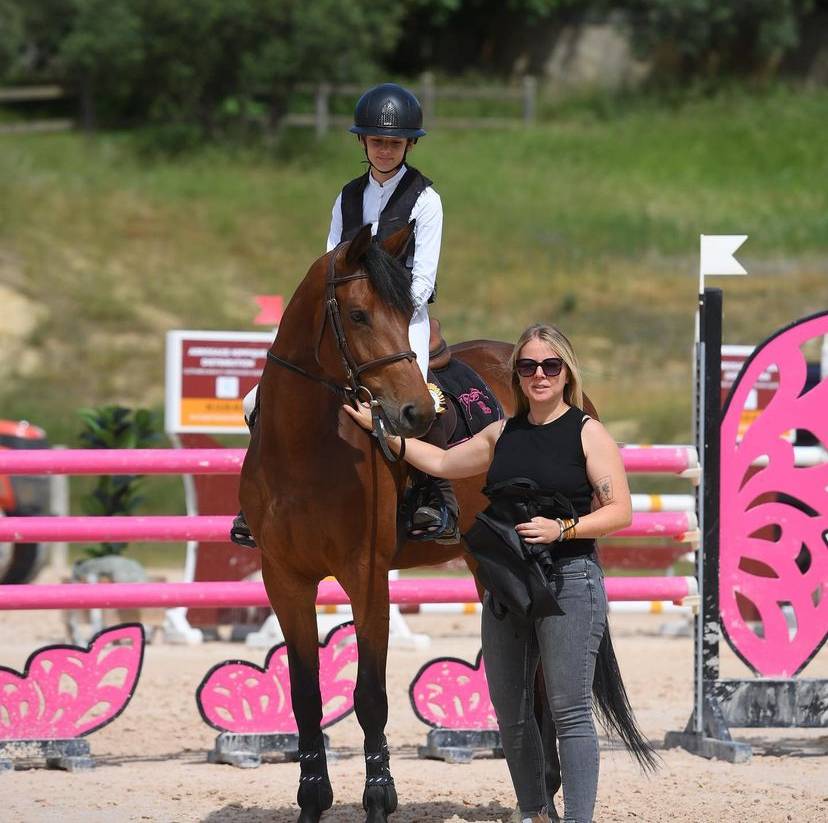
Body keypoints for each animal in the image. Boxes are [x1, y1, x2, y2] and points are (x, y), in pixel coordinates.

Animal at [241, 222, 559, 823]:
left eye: (403, 312)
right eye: (358, 315)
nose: (418, 414)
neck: (303, 448)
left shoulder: (367, 577)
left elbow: (370, 696)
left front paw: (378, 799)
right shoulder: (285, 580)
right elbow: (306, 696)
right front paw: (312, 801)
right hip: (490, 565)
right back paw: (543, 789)